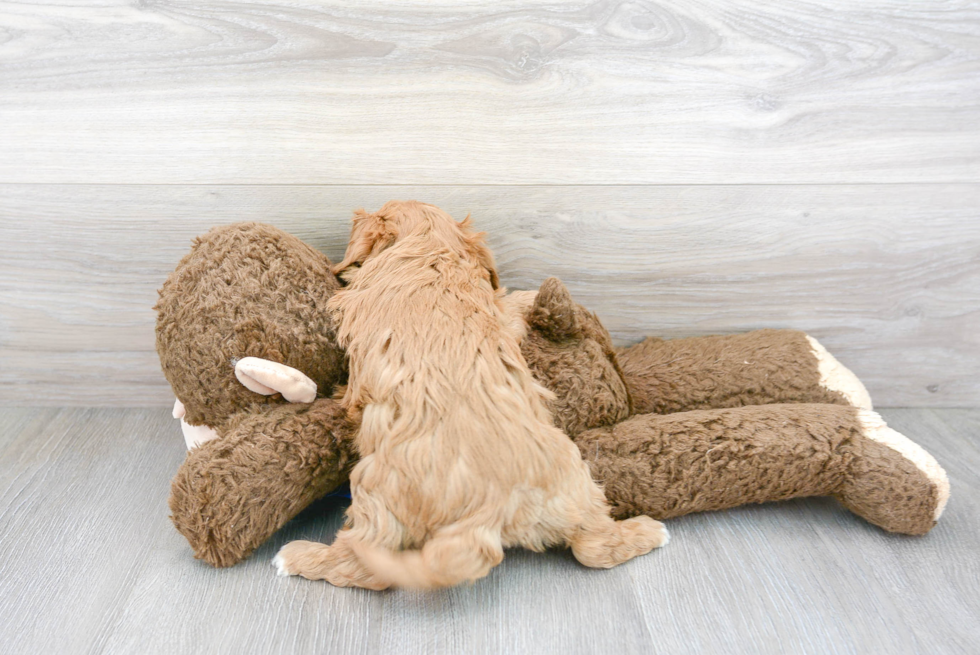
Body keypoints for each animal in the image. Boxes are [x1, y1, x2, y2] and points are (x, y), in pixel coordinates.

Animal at [272, 200, 668, 588]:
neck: (431, 250)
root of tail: (487, 511)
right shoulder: (495, 311)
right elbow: (507, 304)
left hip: (375, 495)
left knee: (362, 566)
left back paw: (297, 557)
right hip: (573, 484)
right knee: (593, 545)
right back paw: (649, 531)